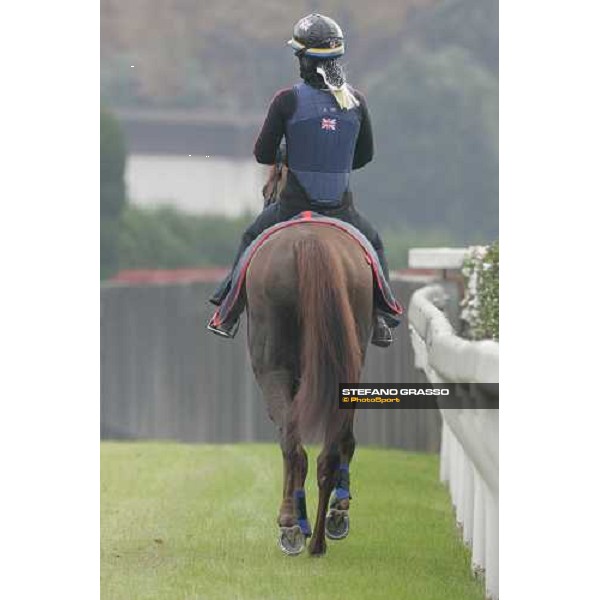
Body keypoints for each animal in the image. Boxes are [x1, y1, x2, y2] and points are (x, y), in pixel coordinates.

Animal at [246, 217, 372, 556]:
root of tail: (309, 242)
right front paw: (337, 514)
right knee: (330, 451)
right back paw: (319, 538)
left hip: (272, 368)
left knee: (292, 445)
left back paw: (292, 526)